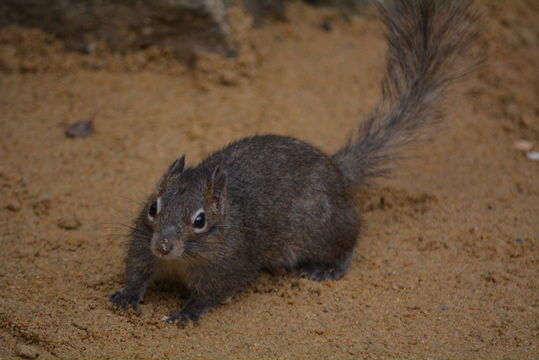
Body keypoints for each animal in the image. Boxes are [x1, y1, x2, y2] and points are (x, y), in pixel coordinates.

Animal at [108, 0, 476, 324]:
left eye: (200, 221)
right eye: (152, 207)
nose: (163, 246)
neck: (181, 262)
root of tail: (338, 172)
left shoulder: (228, 266)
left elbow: (210, 295)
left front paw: (186, 313)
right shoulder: (142, 248)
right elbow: (137, 273)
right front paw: (127, 295)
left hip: (325, 229)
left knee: (351, 237)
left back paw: (326, 268)